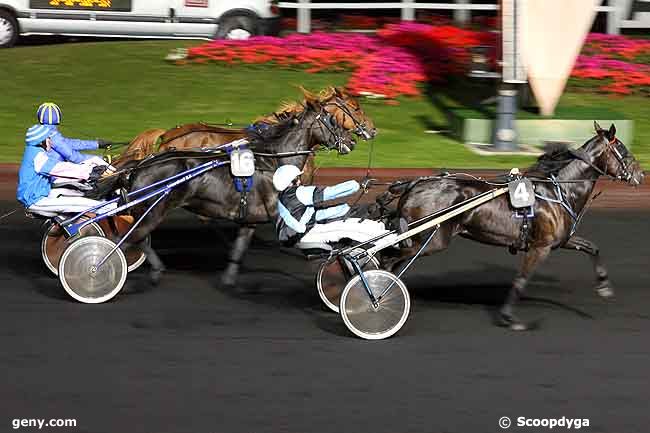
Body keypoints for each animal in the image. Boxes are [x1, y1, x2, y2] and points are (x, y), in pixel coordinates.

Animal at [99, 98, 356, 286]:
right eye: (333, 119)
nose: (352, 142)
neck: (274, 161)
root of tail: (138, 167)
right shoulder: (280, 212)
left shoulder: (251, 218)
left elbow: (240, 247)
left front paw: (229, 277)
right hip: (154, 211)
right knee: (126, 240)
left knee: (138, 238)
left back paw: (155, 269)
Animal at [384, 122, 644, 330]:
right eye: (623, 150)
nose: (640, 174)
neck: (559, 191)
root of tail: (413, 185)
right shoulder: (540, 248)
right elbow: (521, 280)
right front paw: (509, 318)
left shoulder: (561, 240)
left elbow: (592, 247)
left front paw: (604, 286)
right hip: (432, 240)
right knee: (387, 258)